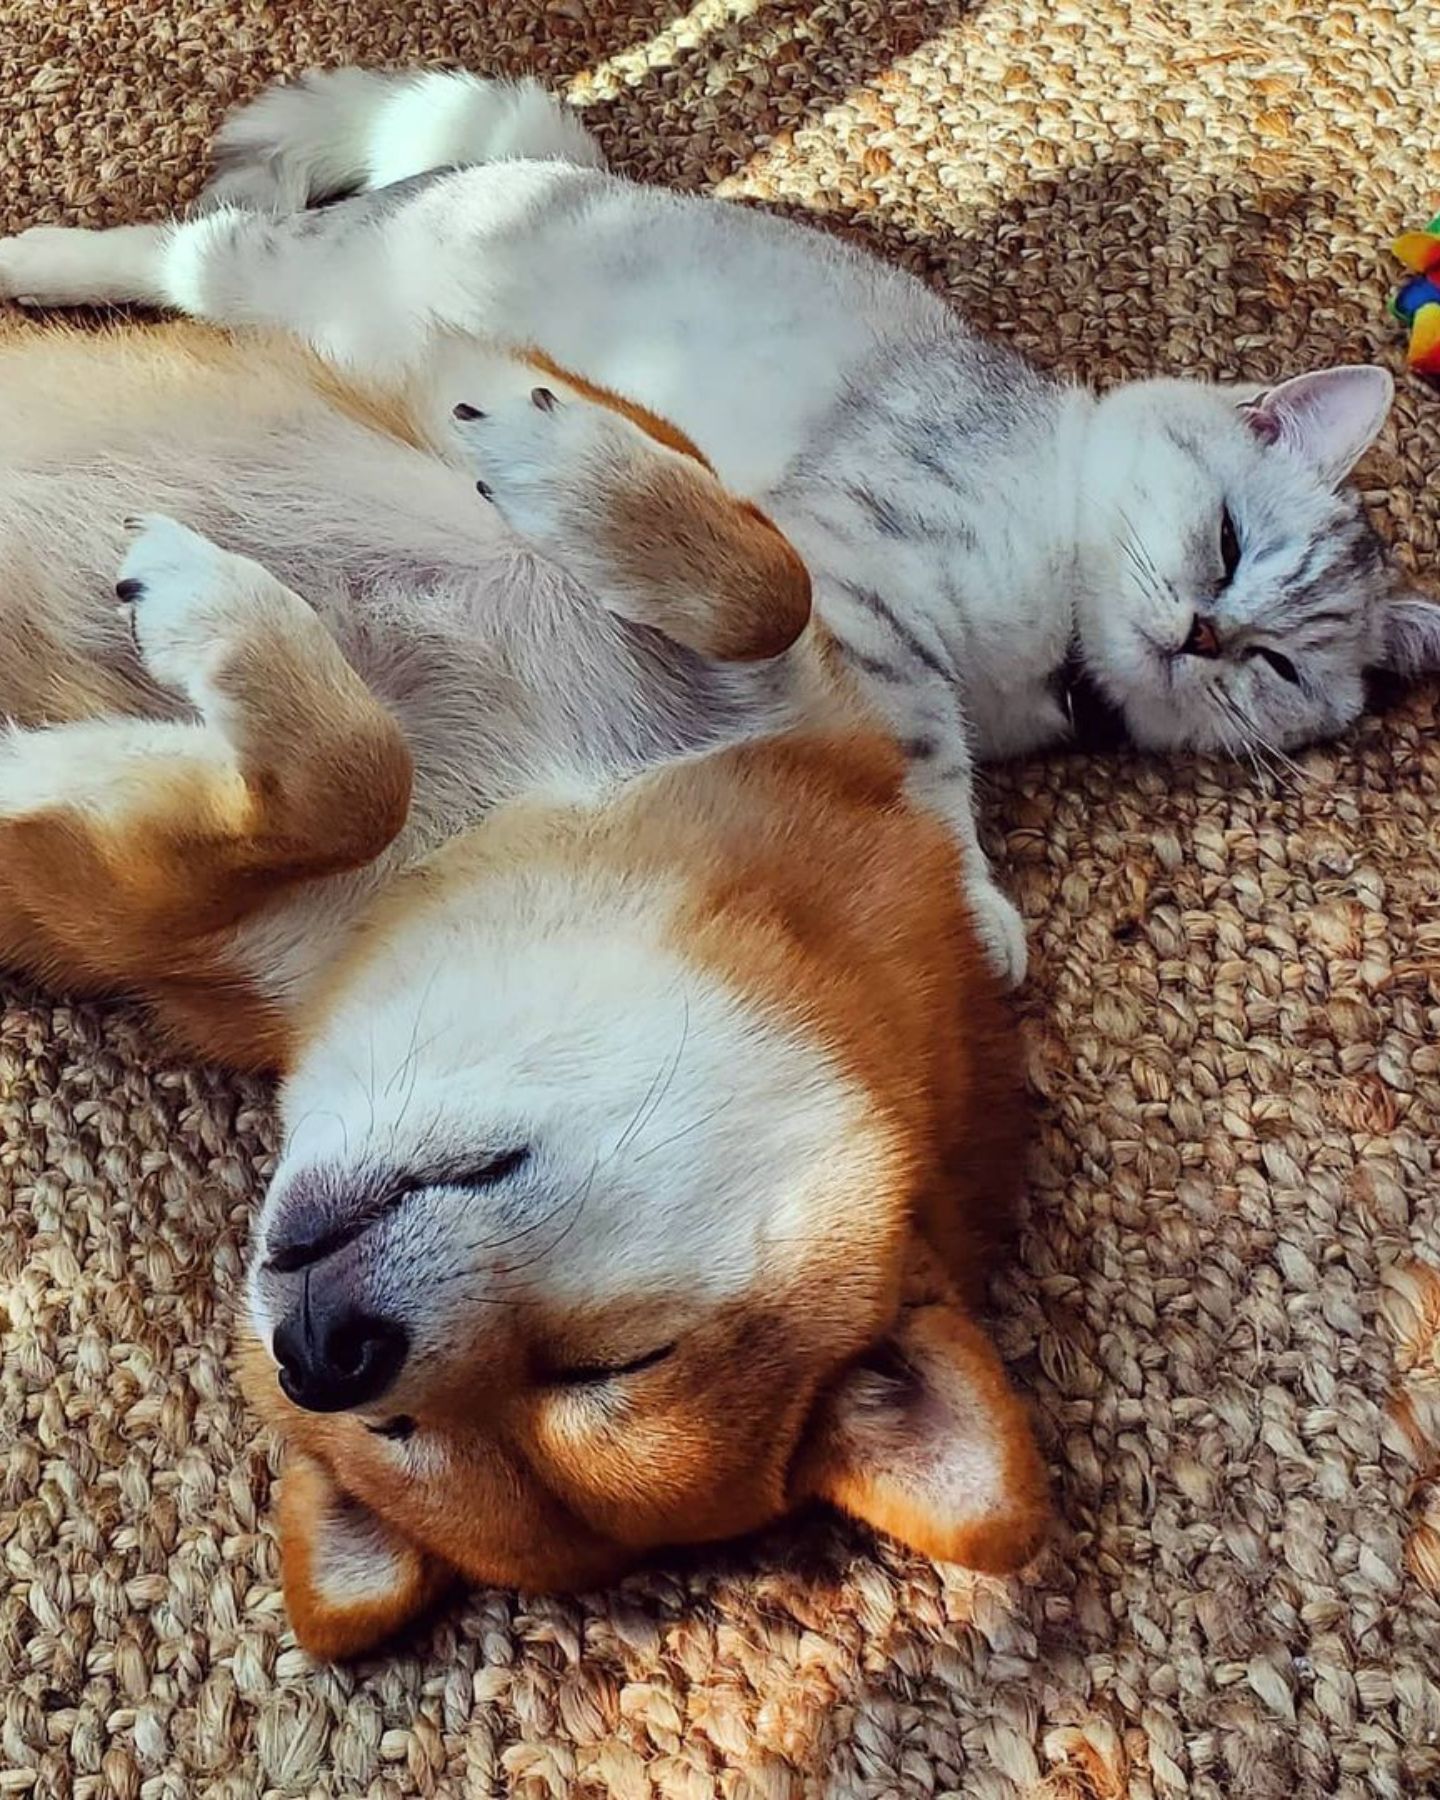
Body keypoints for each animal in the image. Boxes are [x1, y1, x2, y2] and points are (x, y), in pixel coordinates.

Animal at [0, 320, 1051, 1656]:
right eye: (627, 1359)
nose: (327, 1355)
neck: (505, 815)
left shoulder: (139, 911)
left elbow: (347, 774)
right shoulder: (793, 686)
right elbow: (768, 584)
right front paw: (548, 452)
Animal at [5, 66, 1432, 986]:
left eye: (1278, 664)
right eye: (1229, 544)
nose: (1203, 635)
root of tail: (542, 166)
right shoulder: (855, 579)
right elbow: (925, 760)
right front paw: (976, 903)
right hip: (269, 275)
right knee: (179, 243)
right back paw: (35, 259)